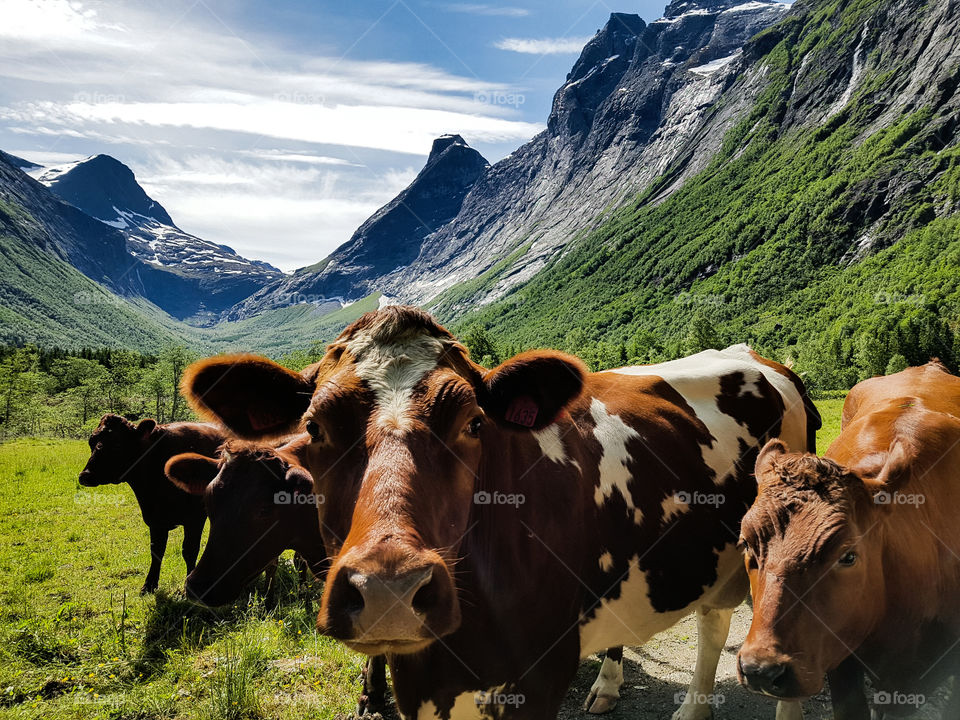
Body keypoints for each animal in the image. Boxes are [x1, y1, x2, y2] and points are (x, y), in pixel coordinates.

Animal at [79, 414, 223, 592]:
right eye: (91, 442)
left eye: (117, 444)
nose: (85, 475)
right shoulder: (155, 520)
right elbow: (156, 551)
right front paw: (149, 584)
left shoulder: (195, 518)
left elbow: (189, 551)